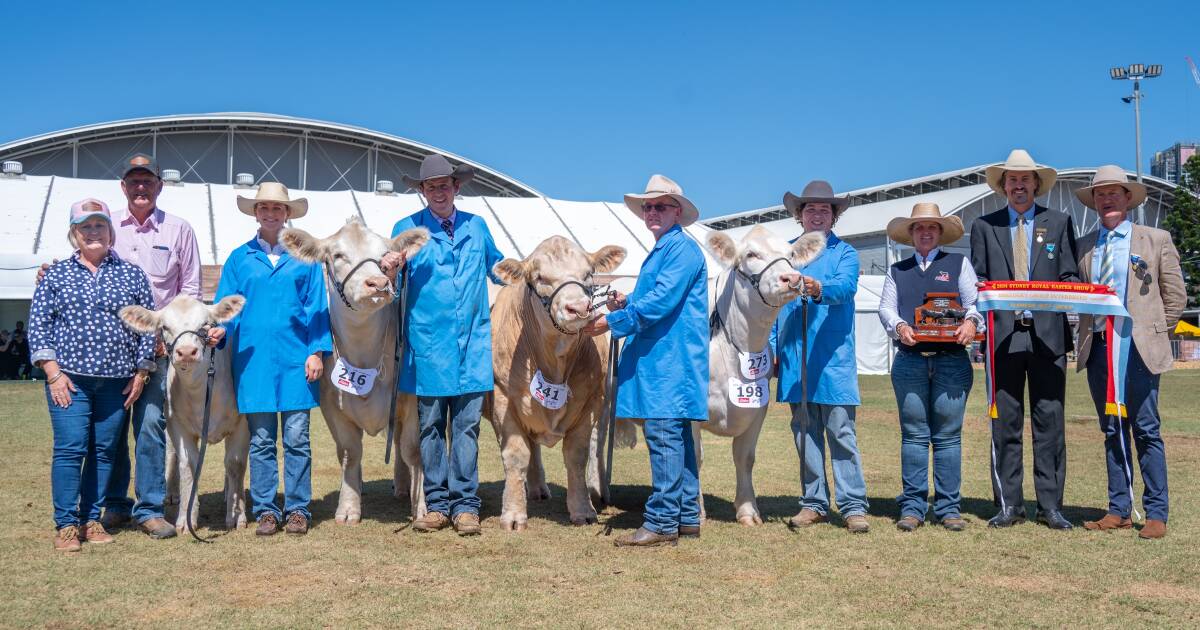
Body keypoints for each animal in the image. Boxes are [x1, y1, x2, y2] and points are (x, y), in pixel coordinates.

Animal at [120, 294, 250, 530]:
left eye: (206, 324)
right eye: (164, 327)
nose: (187, 352)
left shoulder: (242, 424)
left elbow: (235, 464)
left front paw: (236, 514)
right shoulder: (177, 424)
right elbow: (188, 465)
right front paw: (185, 520)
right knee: (171, 453)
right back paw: (171, 494)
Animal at [280, 218, 432, 523]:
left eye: (386, 255)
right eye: (337, 255)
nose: (378, 283)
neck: (363, 356)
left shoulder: (410, 399)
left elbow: (413, 450)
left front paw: (421, 505)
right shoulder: (331, 405)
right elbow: (350, 452)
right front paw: (349, 507)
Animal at [487, 237, 628, 530]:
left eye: (588, 274)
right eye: (539, 277)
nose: (578, 308)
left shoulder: (590, 403)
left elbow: (576, 456)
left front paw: (583, 510)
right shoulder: (502, 398)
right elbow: (515, 455)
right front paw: (513, 515)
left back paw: (538, 489)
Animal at [700, 225, 830, 525]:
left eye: (791, 255)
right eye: (751, 254)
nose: (792, 278)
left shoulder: (759, 408)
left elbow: (745, 457)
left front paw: (748, 511)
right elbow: (693, 458)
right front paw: (695, 513)